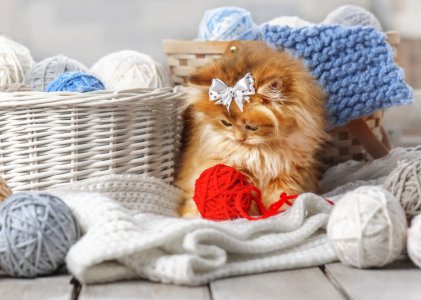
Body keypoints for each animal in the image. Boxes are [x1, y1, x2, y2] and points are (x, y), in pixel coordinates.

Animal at [175, 41, 328, 217]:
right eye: (226, 123)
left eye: (252, 127)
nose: (239, 139)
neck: (260, 153)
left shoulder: (287, 173)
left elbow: (280, 197)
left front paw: (279, 213)